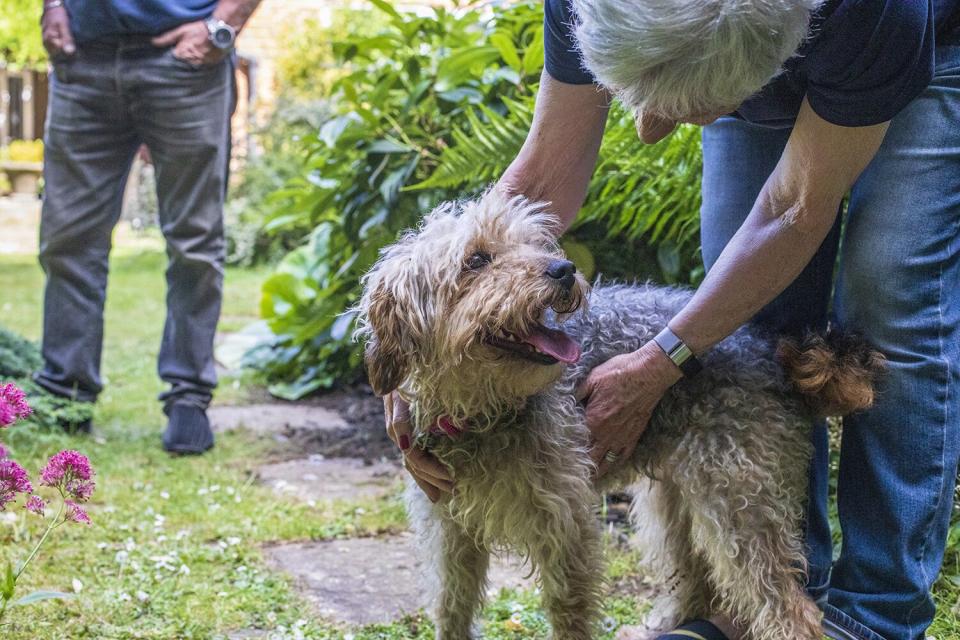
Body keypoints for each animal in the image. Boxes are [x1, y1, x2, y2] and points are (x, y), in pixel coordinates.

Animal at [358, 191, 884, 640]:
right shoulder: (449, 531)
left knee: (791, 610)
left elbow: (568, 611)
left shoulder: (564, 524)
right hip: (673, 503)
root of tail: (771, 351)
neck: (483, 415)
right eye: (476, 260)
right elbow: (452, 607)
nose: (563, 268)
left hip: (738, 504)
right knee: (697, 582)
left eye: (534, 244)